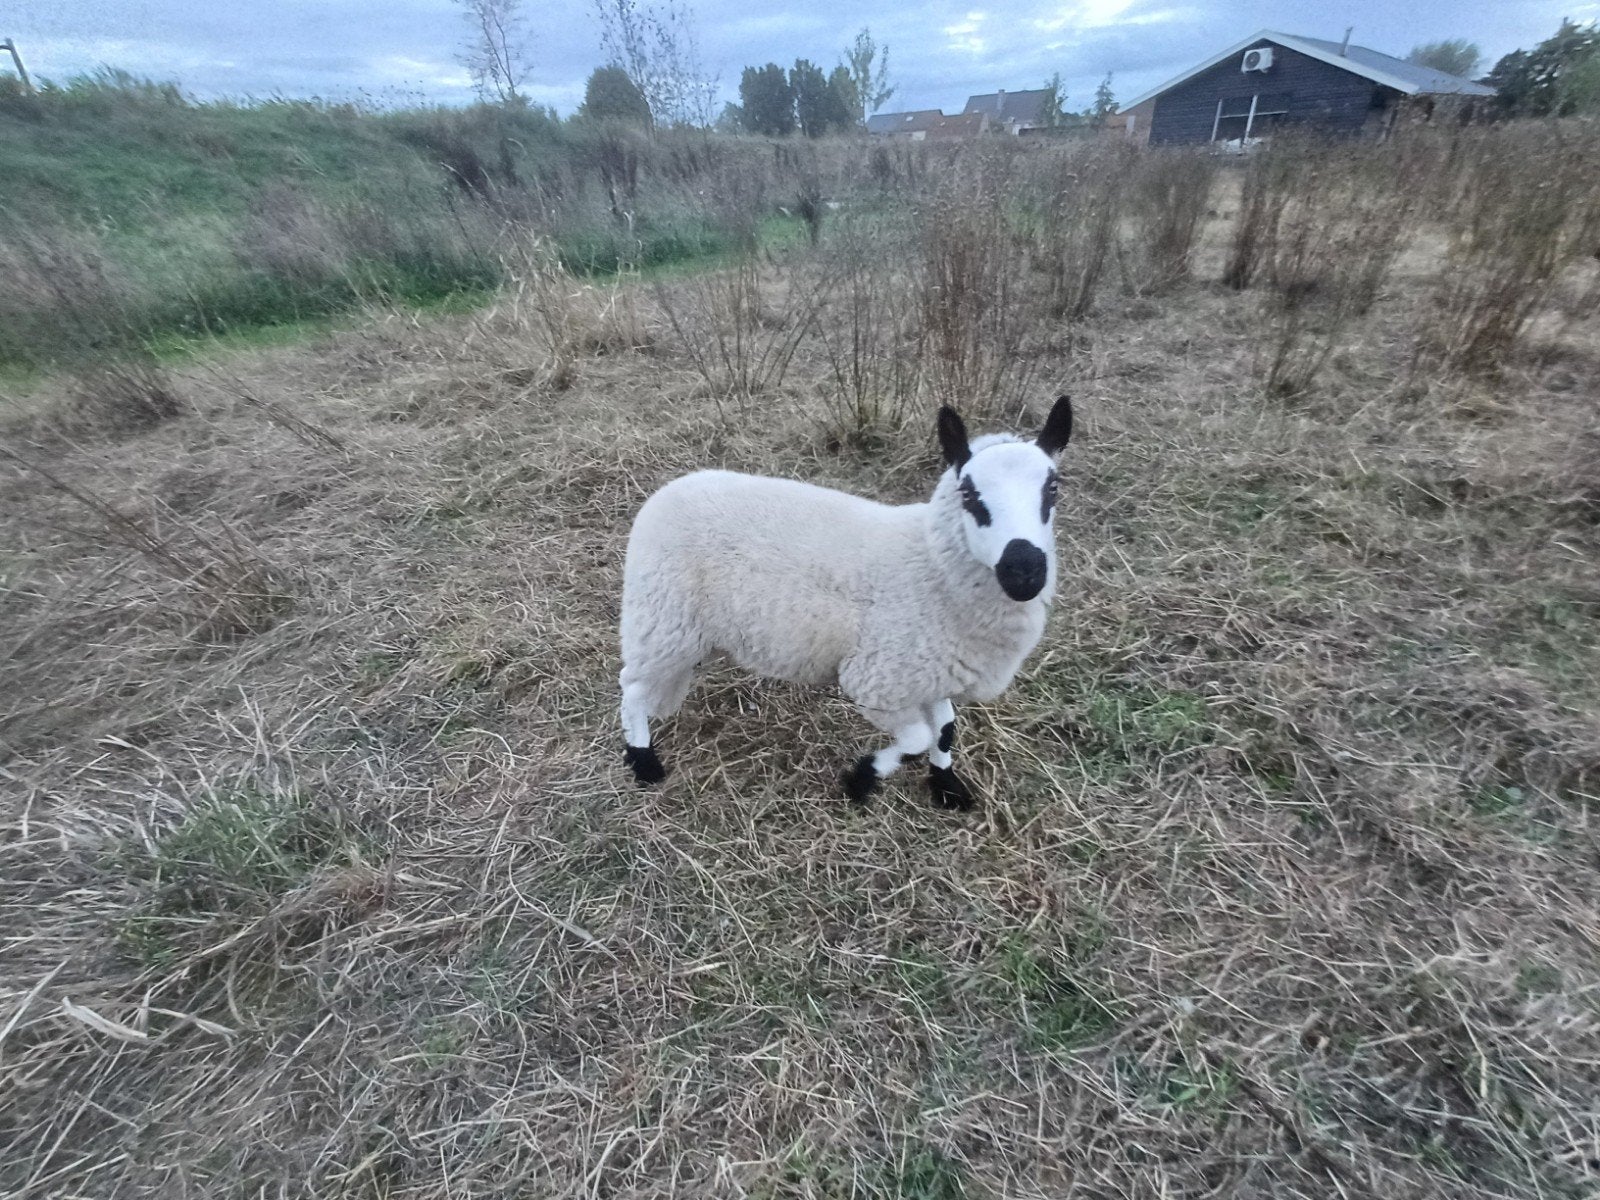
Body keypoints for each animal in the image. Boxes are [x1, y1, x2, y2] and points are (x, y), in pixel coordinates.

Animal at [618, 395, 1074, 808]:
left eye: (1053, 488)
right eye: (969, 494)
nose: (1025, 570)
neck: (930, 568)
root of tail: (668, 491)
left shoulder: (932, 669)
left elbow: (944, 730)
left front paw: (946, 786)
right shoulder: (878, 680)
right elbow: (917, 738)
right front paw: (861, 779)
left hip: (684, 628)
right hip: (662, 615)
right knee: (632, 685)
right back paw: (643, 762)